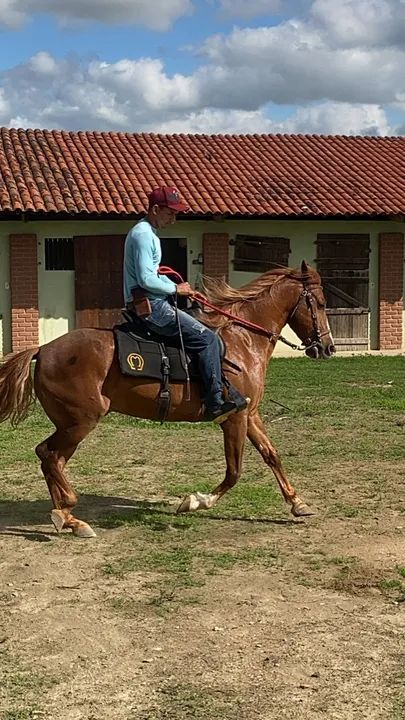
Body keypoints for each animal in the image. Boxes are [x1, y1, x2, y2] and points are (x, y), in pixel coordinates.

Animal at [0, 261, 335, 538]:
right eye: (319, 303)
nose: (328, 347)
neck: (241, 341)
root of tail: (43, 350)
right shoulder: (234, 418)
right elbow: (234, 471)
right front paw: (195, 501)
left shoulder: (249, 414)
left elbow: (271, 455)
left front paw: (297, 503)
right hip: (80, 423)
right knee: (48, 454)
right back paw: (70, 514)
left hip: (71, 426)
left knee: (51, 459)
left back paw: (66, 516)